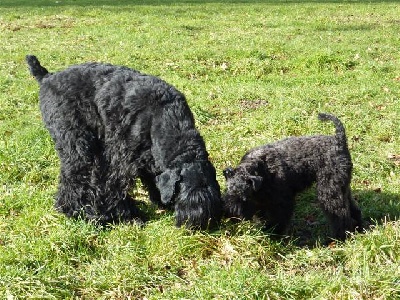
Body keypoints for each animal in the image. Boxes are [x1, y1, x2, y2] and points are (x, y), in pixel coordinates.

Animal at [27, 54, 222, 227]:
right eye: (186, 195)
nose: (197, 223)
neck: (163, 116)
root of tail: (47, 78)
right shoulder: (121, 159)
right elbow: (114, 186)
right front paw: (128, 216)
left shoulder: (146, 156)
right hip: (76, 143)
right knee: (75, 177)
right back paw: (78, 211)